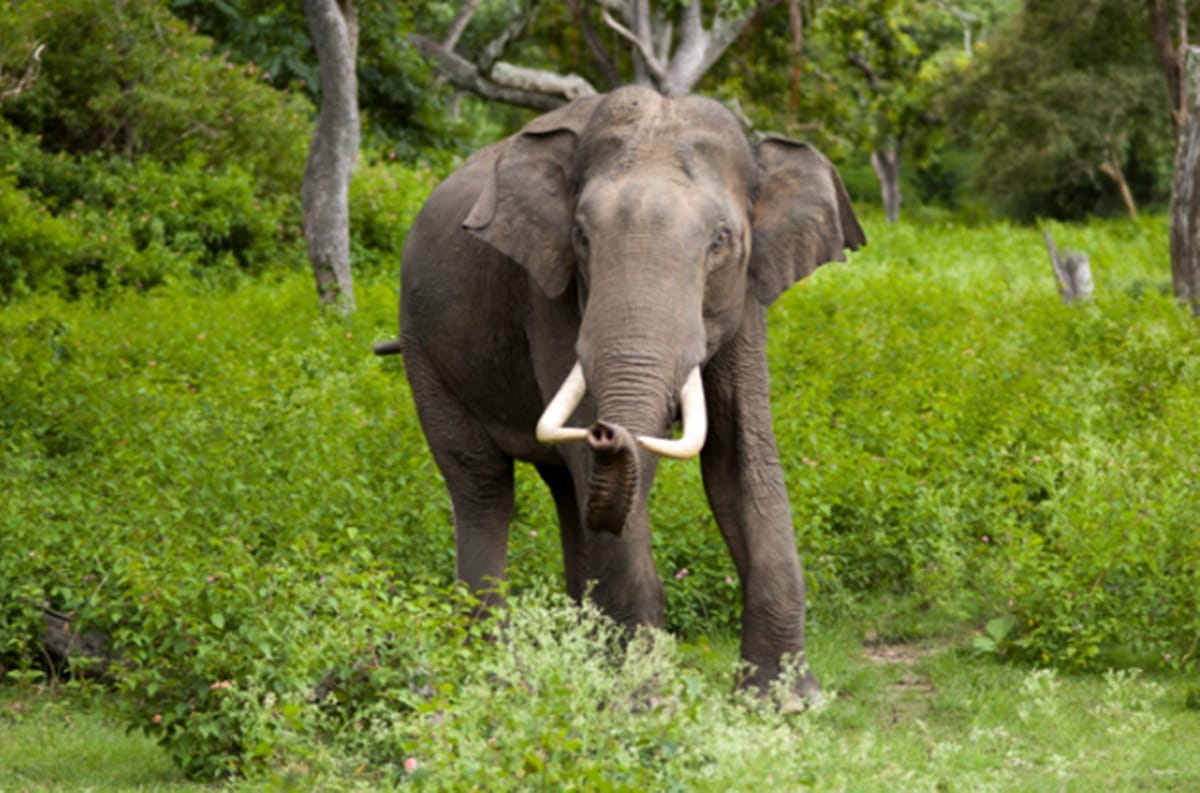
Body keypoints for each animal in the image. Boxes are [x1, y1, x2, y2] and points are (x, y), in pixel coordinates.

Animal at [377, 85, 864, 699]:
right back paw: (497, 669)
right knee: (483, 485)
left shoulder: (748, 297)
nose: (608, 431)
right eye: (582, 236)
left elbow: (740, 458)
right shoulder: (549, 292)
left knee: (567, 492)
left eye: (721, 241)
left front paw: (786, 703)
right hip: (424, 350)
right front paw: (643, 700)